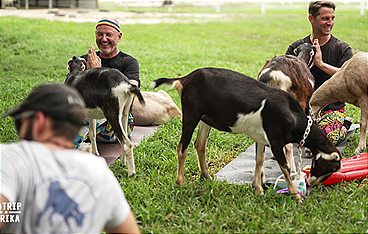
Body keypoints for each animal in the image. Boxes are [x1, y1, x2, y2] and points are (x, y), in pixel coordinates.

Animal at [152, 68, 340, 201]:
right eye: (331, 167)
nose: (311, 183)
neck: (292, 115)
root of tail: (184, 79)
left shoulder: (261, 138)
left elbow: (259, 160)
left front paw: (258, 189)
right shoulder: (275, 140)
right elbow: (285, 167)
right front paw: (297, 196)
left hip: (205, 119)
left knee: (200, 144)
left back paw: (206, 176)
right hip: (191, 115)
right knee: (182, 147)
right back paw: (181, 182)